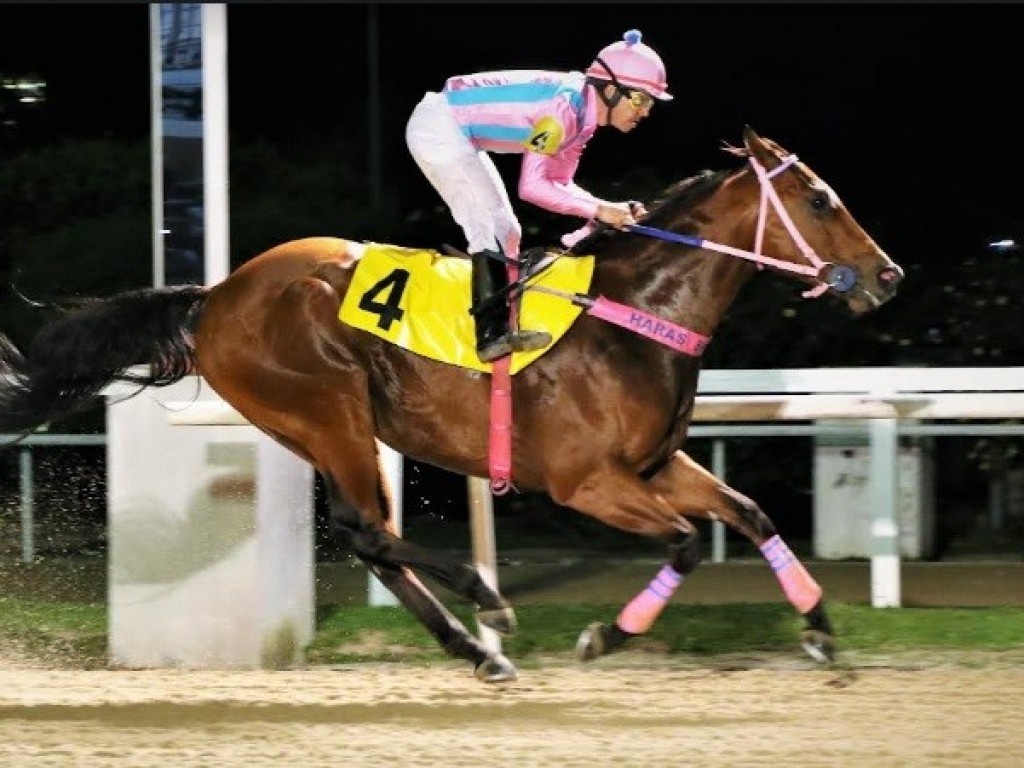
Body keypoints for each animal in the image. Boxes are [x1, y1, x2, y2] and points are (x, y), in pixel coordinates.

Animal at [0, 128, 901, 684]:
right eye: (820, 200)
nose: (887, 275)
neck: (633, 314)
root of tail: (215, 295)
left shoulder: (653, 465)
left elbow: (748, 513)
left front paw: (819, 628)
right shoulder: (586, 482)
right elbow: (683, 542)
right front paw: (604, 635)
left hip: (330, 428)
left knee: (370, 536)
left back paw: (476, 649)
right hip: (328, 409)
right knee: (366, 530)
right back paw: (484, 602)